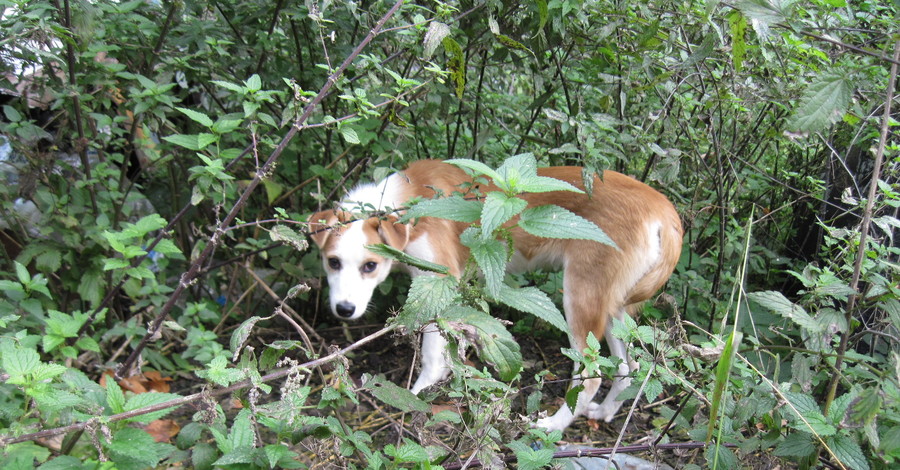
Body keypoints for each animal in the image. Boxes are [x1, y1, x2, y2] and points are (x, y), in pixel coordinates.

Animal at [310, 160, 684, 432]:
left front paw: (415, 397)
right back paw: (604, 412)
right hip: (613, 309)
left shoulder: (439, 280)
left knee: (591, 376)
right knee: (628, 367)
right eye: (333, 262)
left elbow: (432, 358)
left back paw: (551, 426)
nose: (344, 310)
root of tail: (663, 208)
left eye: (370, 266)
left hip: (581, 298)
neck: (408, 203)